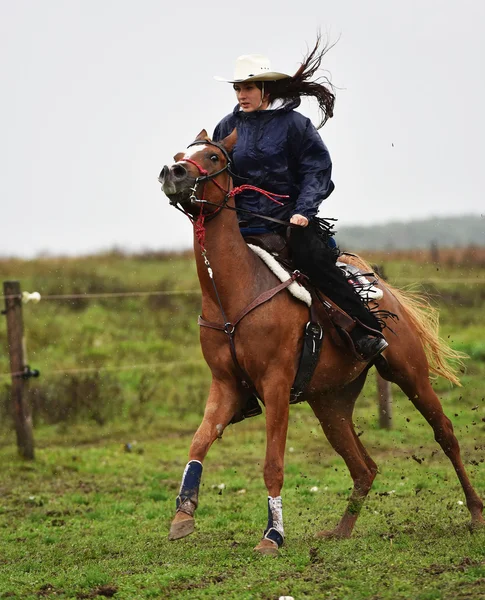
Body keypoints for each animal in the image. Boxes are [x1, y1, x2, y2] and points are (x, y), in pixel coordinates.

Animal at [158, 129, 480, 556]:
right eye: (181, 154)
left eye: (213, 157)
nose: (172, 172)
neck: (235, 294)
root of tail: (381, 288)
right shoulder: (225, 386)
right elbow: (198, 443)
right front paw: (183, 515)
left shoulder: (276, 386)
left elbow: (273, 464)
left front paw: (272, 535)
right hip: (331, 404)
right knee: (365, 467)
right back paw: (341, 530)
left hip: (410, 375)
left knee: (445, 435)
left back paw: (475, 511)